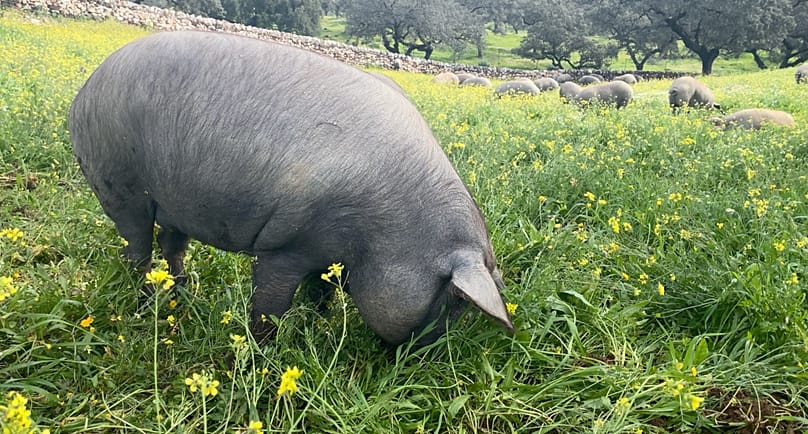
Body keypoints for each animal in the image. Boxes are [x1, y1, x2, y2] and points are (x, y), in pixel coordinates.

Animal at [69, 31, 513, 346]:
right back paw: (144, 303)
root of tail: (86, 88)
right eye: (455, 301)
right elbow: (270, 303)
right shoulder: (285, 243)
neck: (388, 228)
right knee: (136, 249)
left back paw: (181, 294)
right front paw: (263, 350)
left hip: (174, 202)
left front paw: (318, 328)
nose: (426, 355)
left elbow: (321, 294)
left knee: (171, 245)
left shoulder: (328, 255)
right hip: (120, 187)